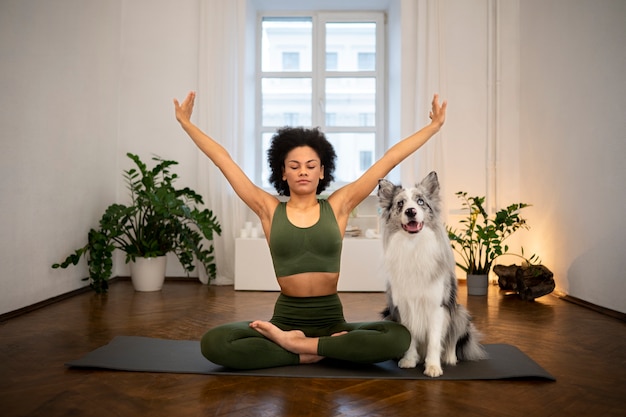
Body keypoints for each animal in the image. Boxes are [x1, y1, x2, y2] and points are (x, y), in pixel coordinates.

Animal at [376, 171, 488, 376]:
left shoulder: (437, 305)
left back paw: (450, 357)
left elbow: (435, 341)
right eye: (400, 203)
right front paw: (409, 360)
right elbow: (410, 336)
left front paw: (433, 367)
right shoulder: (404, 306)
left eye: (420, 201)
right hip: (389, 315)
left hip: (460, 313)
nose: (410, 211)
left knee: (452, 339)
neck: (413, 245)